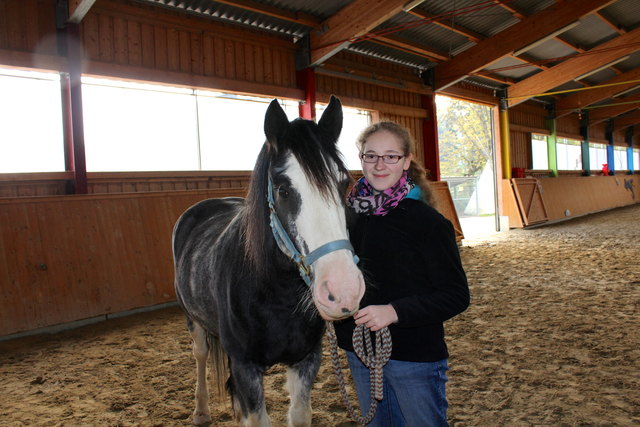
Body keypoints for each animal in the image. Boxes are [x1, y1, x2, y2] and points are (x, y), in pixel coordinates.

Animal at [172, 96, 365, 426]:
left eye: (344, 184)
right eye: (283, 189)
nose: (344, 291)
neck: (276, 295)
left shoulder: (306, 360)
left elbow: (299, 414)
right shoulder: (245, 367)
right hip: (193, 320)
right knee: (199, 355)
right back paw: (201, 411)